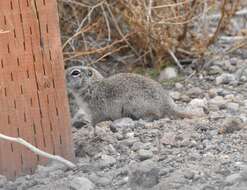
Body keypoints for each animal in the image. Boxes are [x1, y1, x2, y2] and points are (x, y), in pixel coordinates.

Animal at [66, 66, 201, 130]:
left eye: (75, 73)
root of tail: (167, 104)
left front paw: (88, 127)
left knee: (156, 116)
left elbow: (94, 121)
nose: (63, 78)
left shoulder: (96, 111)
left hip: (134, 105)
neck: (91, 86)